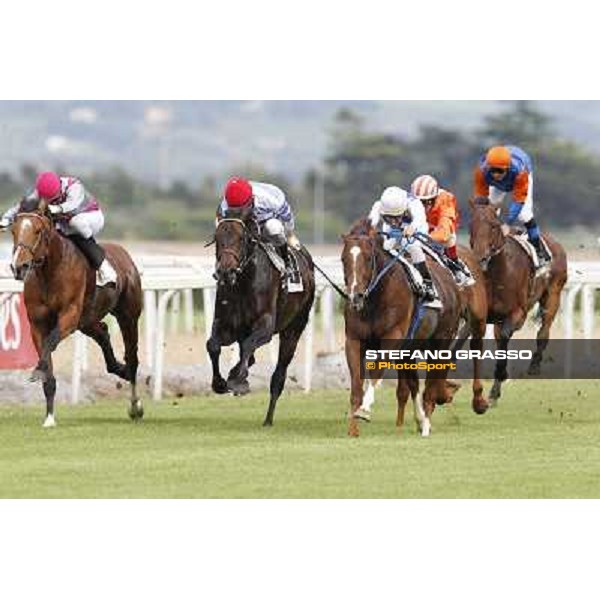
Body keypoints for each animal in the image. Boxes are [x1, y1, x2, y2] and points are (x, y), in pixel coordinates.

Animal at [8, 205, 142, 426]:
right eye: (13, 231)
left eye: (38, 231)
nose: (19, 267)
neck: (50, 271)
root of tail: (125, 255)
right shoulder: (37, 325)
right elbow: (47, 362)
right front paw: (49, 418)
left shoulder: (69, 316)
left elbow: (51, 341)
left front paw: (38, 370)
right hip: (87, 320)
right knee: (103, 332)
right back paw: (119, 369)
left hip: (128, 316)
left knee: (132, 358)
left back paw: (135, 406)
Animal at [207, 216, 316, 426]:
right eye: (217, 238)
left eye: (241, 239)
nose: (225, 272)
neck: (243, 283)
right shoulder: (225, 324)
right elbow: (213, 345)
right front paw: (220, 382)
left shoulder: (265, 326)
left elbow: (249, 346)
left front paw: (238, 381)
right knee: (249, 356)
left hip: (294, 328)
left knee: (279, 374)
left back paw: (268, 418)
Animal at [342, 218, 488, 438]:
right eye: (343, 259)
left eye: (368, 259)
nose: (355, 297)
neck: (375, 300)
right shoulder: (354, 340)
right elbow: (356, 383)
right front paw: (353, 427)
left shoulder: (393, 336)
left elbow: (377, 371)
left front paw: (365, 410)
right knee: (417, 383)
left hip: (448, 335)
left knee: (448, 369)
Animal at [468, 198, 568, 404]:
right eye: (471, 224)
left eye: (494, 225)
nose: (480, 258)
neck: (497, 272)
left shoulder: (518, 312)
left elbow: (505, 338)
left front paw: (500, 376)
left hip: (553, 296)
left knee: (543, 331)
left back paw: (534, 365)